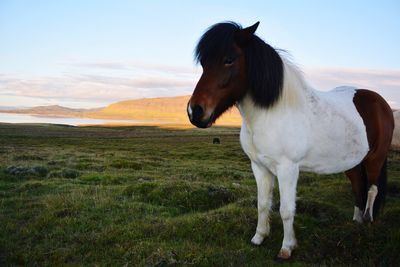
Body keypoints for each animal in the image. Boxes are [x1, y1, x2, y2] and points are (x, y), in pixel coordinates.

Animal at [187, 22, 394, 260]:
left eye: (229, 59)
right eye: (204, 63)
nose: (195, 111)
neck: (273, 114)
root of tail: (380, 102)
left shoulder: (288, 169)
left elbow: (286, 210)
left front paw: (286, 248)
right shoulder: (259, 167)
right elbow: (263, 204)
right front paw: (259, 237)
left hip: (375, 158)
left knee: (372, 189)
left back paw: (368, 221)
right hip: (352, 162)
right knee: (358, 186)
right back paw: (356, 222)